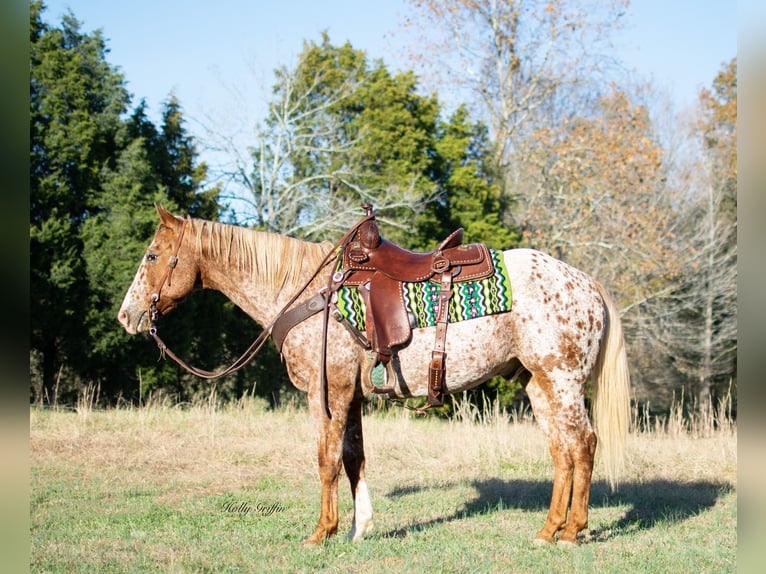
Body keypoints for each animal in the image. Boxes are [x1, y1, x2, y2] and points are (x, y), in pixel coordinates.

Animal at [118, 204, 632, 548]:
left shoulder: (328, 392)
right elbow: (353, 459)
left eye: (151, 256)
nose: (127, 316)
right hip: (538, 384)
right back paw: (548, 530)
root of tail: (586, 282)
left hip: (563, 382)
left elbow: (326, 461)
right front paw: (358, 528)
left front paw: (321, 533)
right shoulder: (353, 397)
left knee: (583, 445)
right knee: (562, 452)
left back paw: (572, 532)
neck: (306, 292)